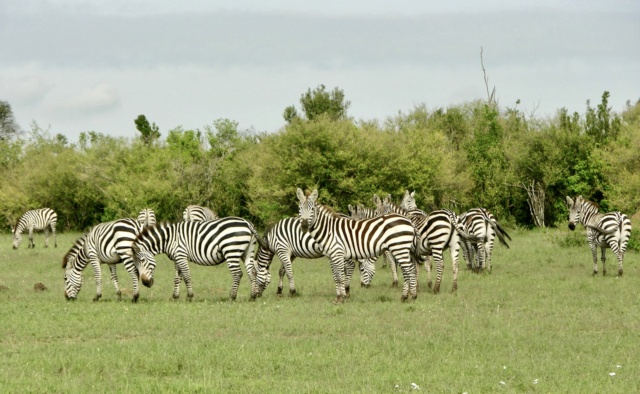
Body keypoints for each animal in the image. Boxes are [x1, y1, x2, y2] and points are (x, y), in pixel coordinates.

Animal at [130, 219, 264, 302]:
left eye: (142, 260)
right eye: (136, 264)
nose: (146, 283)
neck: (168, 239)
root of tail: (247, 223)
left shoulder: (181, 255)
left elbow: (186, 276)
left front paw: (189, 296)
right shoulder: (177, 258)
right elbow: (177, 278)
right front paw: (175, 296)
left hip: (231, 251)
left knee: (237, 274)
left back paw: (232, 297)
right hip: (247, 251)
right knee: (252, 272)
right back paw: (252, 296)